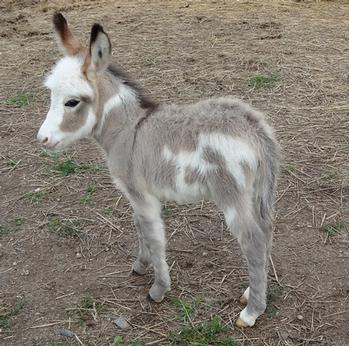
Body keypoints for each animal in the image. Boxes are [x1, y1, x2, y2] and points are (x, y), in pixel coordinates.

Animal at [37, 12, 280, 328]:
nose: (41, 139)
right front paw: (140, 264)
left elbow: (154, 236)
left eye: (72, 102)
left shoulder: (143, 195)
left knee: (253, 240)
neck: (128, 129)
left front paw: (158, 289)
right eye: (52, 95)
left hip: (231, 195)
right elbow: (139, 227)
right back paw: (252, 291)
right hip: (257, 191)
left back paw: (251, 312)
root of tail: (255, 128)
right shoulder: (134, 194)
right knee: (266, 231)